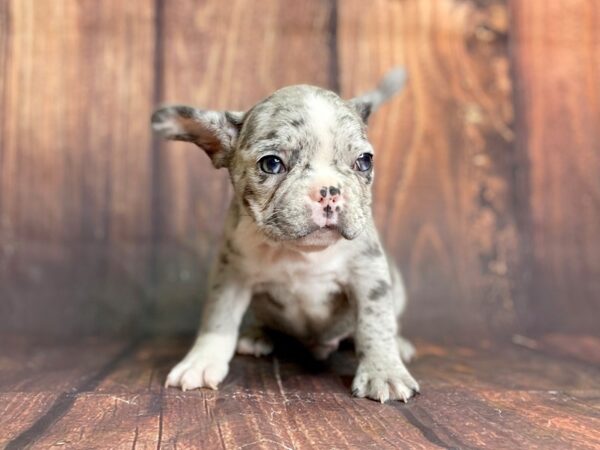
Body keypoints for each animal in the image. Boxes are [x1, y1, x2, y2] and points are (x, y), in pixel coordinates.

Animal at [152, 70, 420, 404]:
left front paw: (385, 372)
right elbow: (218, 318)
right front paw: (201, 361)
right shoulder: (230, 275)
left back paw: (401, 345)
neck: (300, 252)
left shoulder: (368, 274)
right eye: (271, 164)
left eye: (364, 161)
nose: (329, 190)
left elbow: (376, 322)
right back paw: (257, 335)